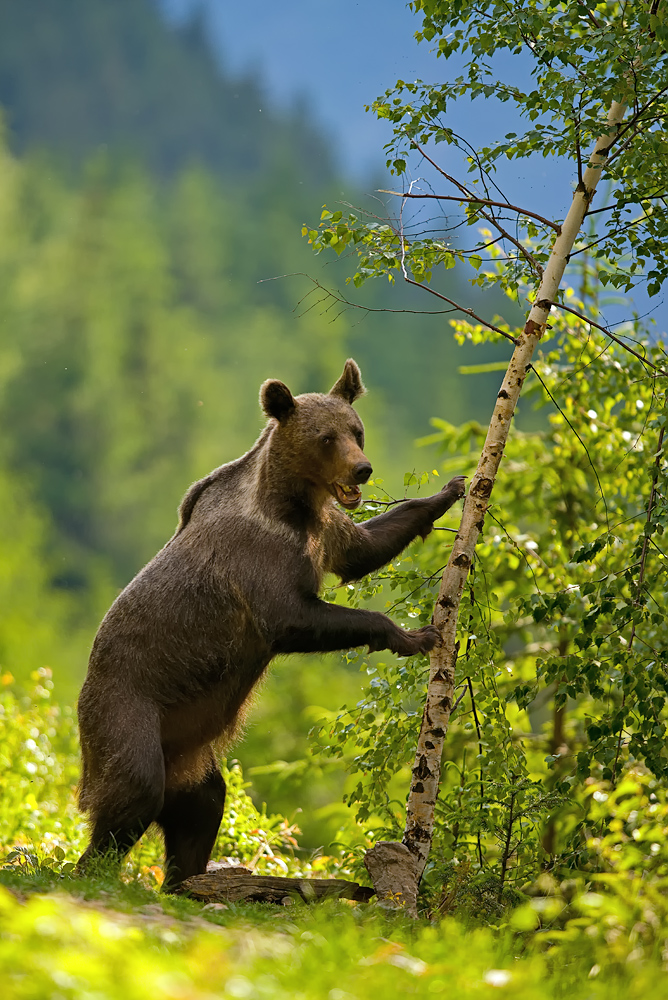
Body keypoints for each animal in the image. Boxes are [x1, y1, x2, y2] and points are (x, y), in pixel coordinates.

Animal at [77, 362, 464, 892]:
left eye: (356, 430)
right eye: (326, 437)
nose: (362, 468)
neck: (293, 506)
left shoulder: (325, 532)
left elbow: (364, 549)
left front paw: (452, 489)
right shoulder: (258, 561)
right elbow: (292, 618)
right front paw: (413, 635)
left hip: (189, 753)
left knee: (202, 806)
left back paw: (188, 881)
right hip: (126, 708)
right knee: (134, 788)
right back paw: (96, 868)